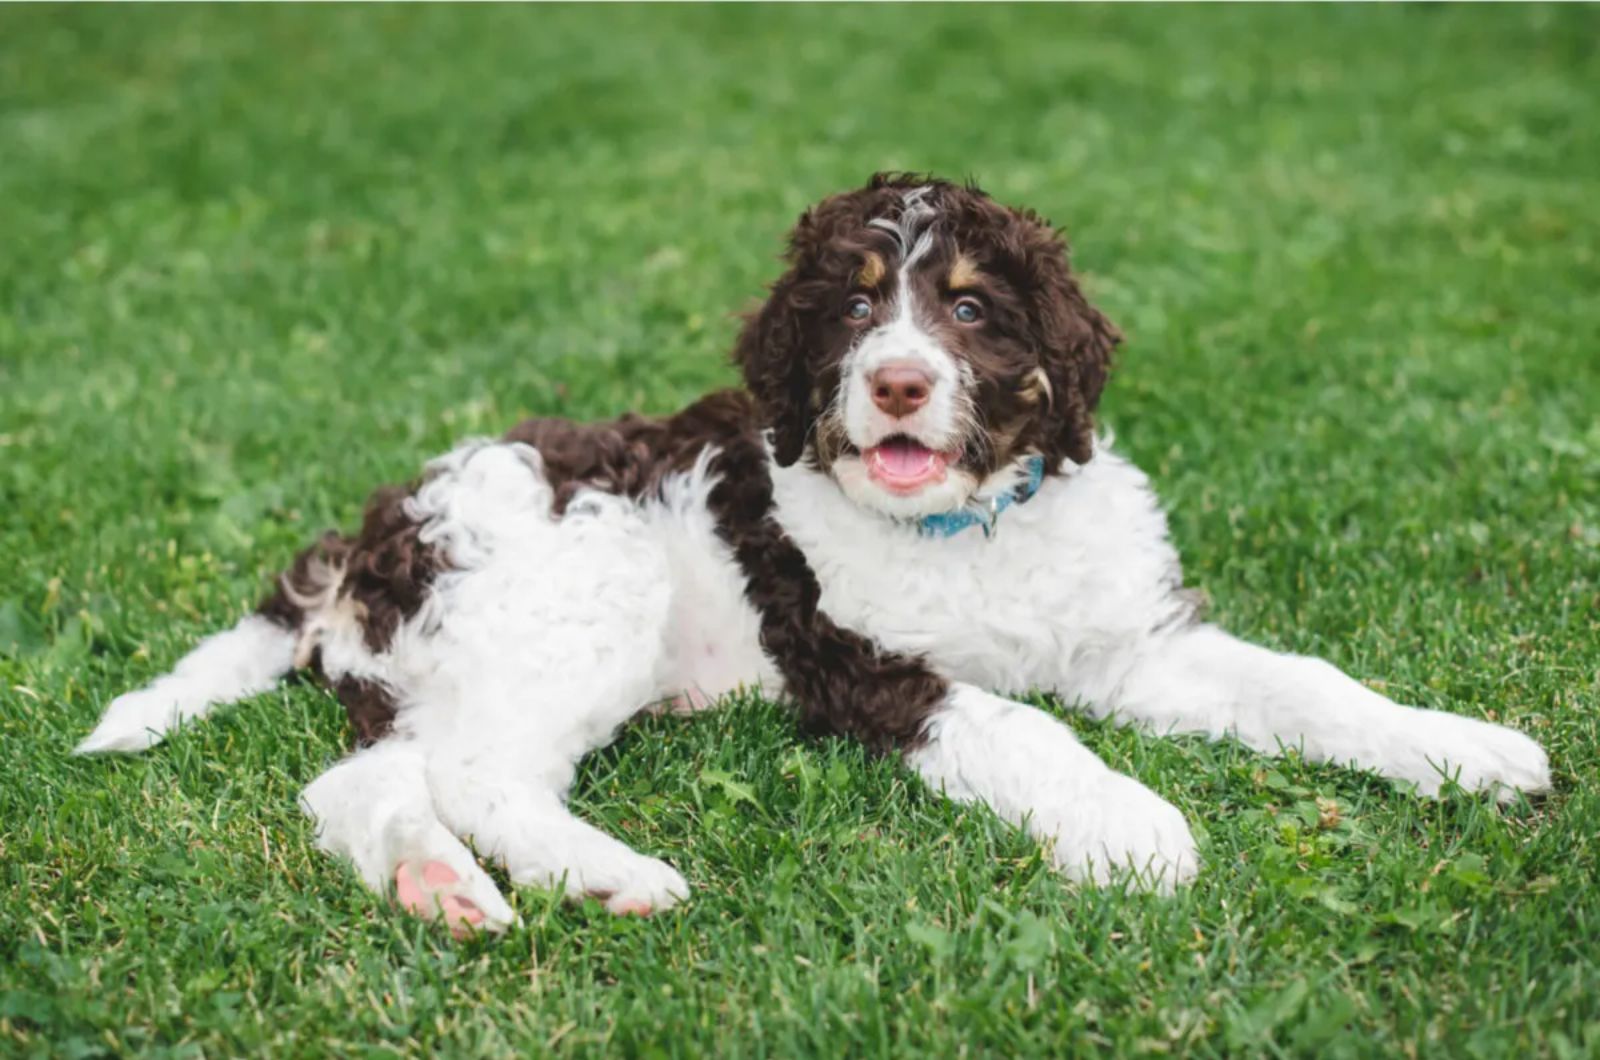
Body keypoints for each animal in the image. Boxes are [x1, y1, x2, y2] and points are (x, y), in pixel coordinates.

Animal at [78, 172, 1548, 941]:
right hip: (578, 591)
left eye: (970, 308)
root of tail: (373, 531)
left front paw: (1465, 750)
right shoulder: (865, 664)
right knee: (481, 775)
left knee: (363, 781)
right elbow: (1029, 729)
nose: (897, 383)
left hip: (449, 660)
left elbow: (1310, 686)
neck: (969, 524)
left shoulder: (1139, 642)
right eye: (850, 305)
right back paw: (611, 874)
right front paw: (1136, 831)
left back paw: (440, 890)